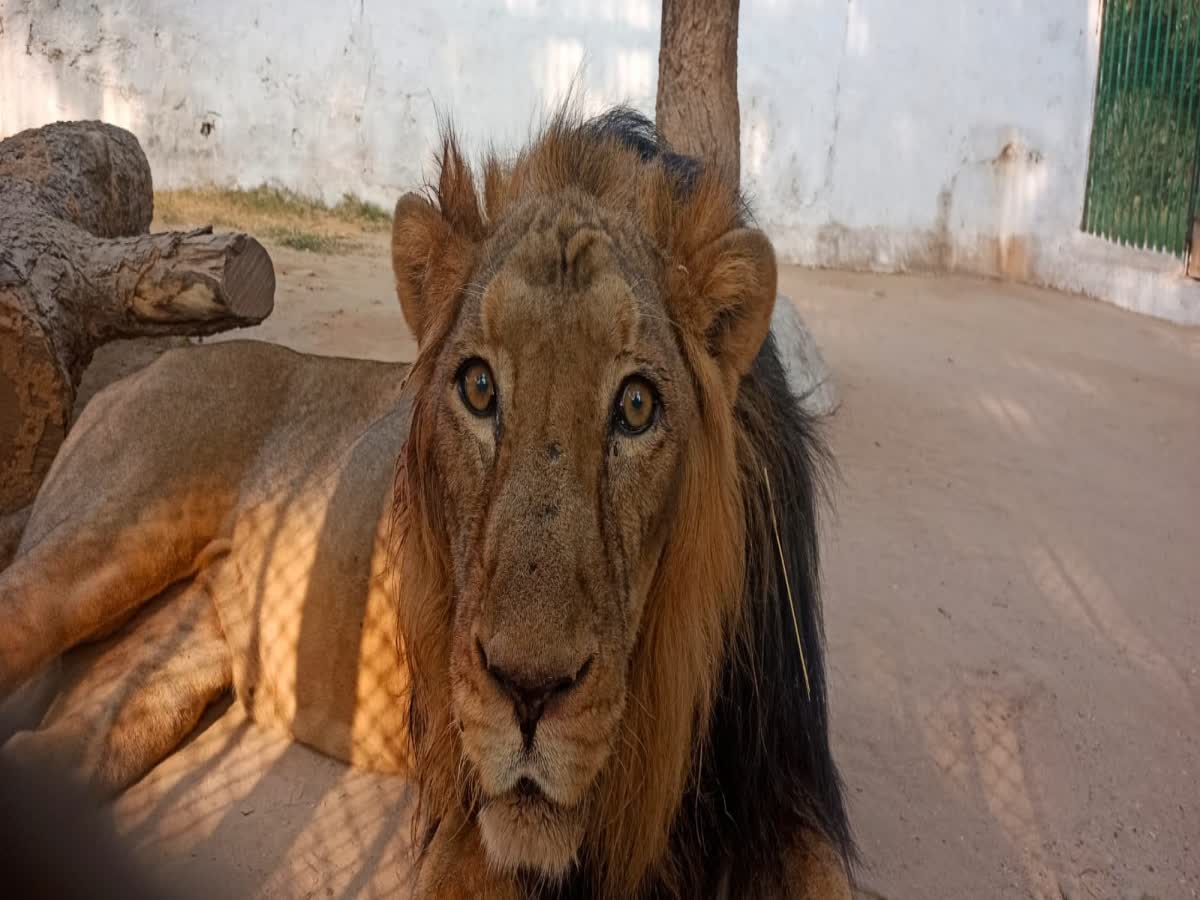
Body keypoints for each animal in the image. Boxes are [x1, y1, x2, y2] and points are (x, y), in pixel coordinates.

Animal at [4, 111, 859, 900]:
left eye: (638, 406)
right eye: (478, 388)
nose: (529, 692)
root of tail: (134, 376)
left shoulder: (786, 800)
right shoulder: (471, 827)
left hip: (168, 661)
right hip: (103, 540)